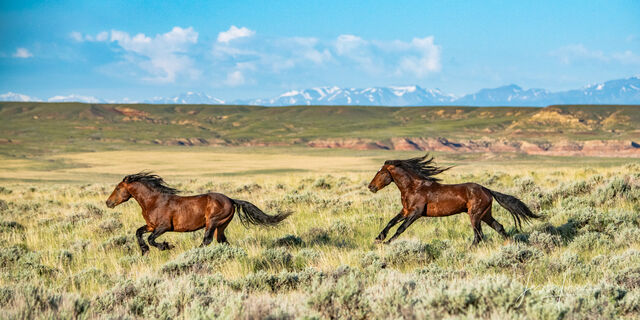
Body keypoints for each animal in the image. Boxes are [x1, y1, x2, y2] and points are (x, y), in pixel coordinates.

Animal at [106, 172, 292, 255]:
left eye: (118, 188)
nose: (108, 202)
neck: (154, 201)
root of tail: (231, 200)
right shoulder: (151, 226)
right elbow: (139, 233)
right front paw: (144, 251)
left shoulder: (163, 227)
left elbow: (152, 240)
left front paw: (166, 246)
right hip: (221, 226)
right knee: (222, 241)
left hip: (212, 222)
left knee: (207, 240)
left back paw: (194, 253)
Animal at [370, 154, 540, 245]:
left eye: (381, 172)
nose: (370, 187)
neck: (413, 187)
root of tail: (487, 190)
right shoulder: (406, 211)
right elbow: (391, 222)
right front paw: (379, 238)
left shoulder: (415, 213)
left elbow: (401, 228)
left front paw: (387, 242)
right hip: (485, 214)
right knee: (498, 227)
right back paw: (510, 244)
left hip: (475, 215)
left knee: (478, 235)